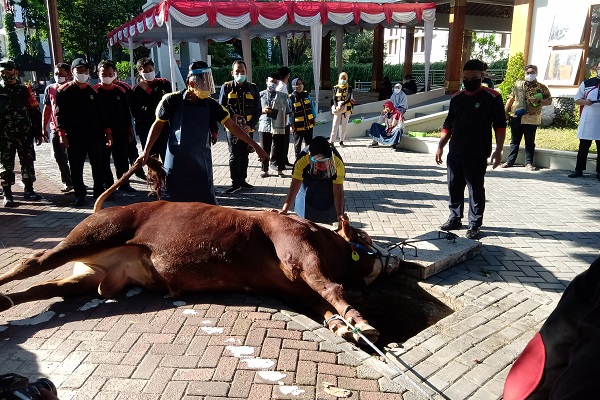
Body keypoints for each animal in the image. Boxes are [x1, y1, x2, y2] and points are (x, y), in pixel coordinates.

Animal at [1, 160, 404, 344]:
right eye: (365, 238)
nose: (397, 257)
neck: (326, 244)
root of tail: (103, 209)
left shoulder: (293, 288)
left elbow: (322, 305)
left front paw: (343, 326)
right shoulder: (300, 254)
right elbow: (330, 289)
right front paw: (362, 322)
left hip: (93, 276)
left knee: (45, 289)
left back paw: (7, 304)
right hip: (94, 236)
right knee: (32, 263)